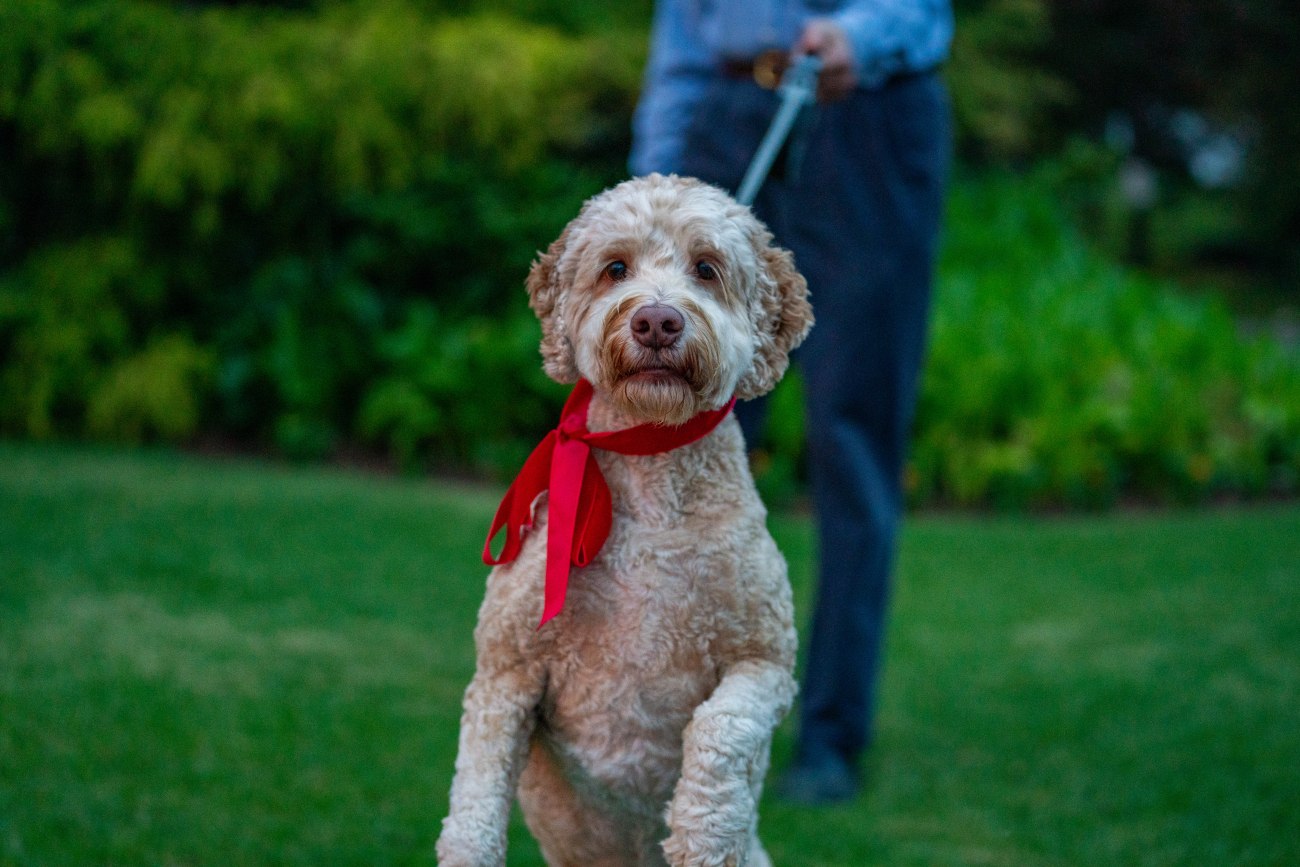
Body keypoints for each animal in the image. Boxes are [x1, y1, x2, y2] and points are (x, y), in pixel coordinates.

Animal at [437, 174, 813, 867]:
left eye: (707, 269)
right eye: (615, 268)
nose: (657, 320)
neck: (651, 475)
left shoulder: (765, 659)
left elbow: (720, 726)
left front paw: (701, 834)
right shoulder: (505, 669)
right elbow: (475, 788)